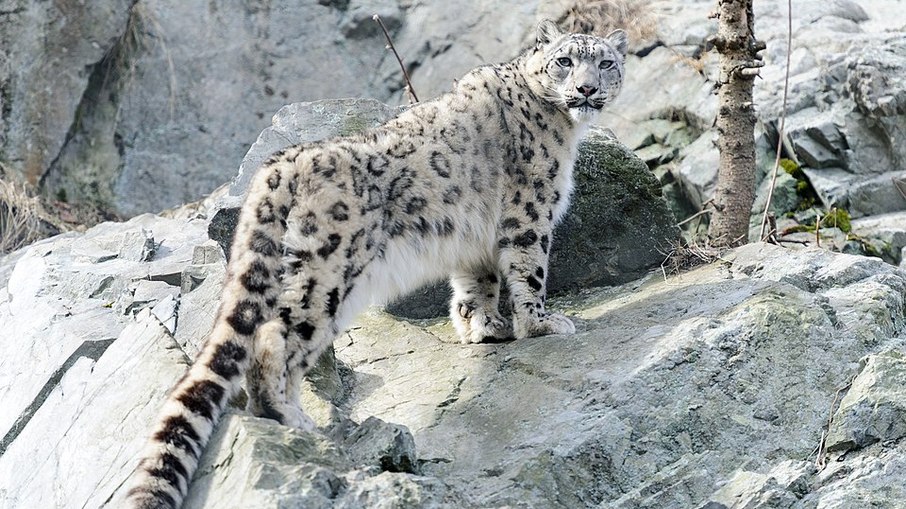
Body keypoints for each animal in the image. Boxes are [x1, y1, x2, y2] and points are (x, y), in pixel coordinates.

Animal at [127, 19, 627, 508]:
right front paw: (541, 323)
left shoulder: (473, 237)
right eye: (564, 61)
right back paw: (293, 419)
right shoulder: (530, 210)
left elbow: (476, 282)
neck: (563, 127)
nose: (586, 89)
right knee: (277, 335)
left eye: (605, 63)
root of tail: (283, 163)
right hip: (328, 274)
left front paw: (485, 328)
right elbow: (528, 266)